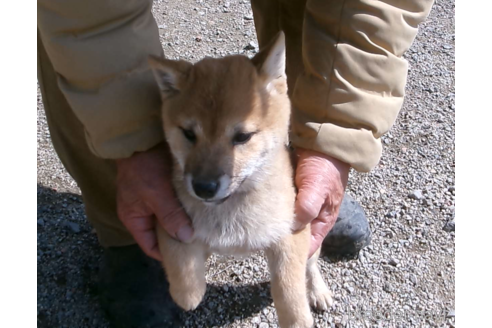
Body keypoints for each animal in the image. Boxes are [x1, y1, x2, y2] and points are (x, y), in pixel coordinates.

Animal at [150, 32, 332, 328]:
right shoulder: (170, 221)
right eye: (188, 133)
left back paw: (318, 291)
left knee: (311, 264)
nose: (204, 188)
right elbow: (183, 271)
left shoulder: (291, 233)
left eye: (242, 137)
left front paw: (296, 317)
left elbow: (288, 286)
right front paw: (189, 293)